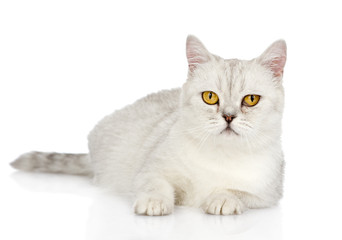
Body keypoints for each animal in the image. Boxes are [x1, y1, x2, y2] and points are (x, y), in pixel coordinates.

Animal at [10, 35, 288, 216]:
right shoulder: (150, 170)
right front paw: (154, 203)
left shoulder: (267, 195)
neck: (221, 156)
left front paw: (221, 199)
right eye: (210, 97)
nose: (229, 117)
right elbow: (156, 184)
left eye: (250, 100)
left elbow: (236, 192)